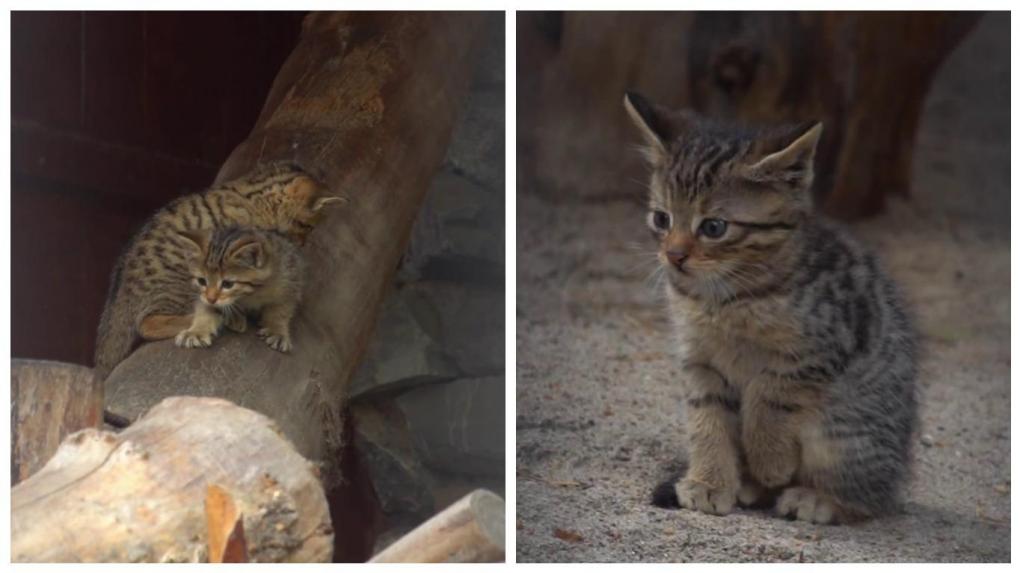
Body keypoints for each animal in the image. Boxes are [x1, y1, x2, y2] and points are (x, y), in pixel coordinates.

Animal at [175, 224, 303, 350]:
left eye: (227, 284)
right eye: (201, 281)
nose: (211, 299)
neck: (252, 293)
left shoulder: (289, 282)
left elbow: (280, 310)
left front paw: (277, 330)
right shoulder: (204, 297)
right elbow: (205, 309)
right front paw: (196, 331)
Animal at [624, 90, 922, 522]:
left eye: (714, 227)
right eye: (662, 219)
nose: (674, 256)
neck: (723, 296)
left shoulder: (824, 346)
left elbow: (768, 390)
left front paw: (769, 459)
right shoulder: (699, 359)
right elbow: (706, 417)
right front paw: (709, 482)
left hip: (842, 430)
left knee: (872, 498)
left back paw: (816, 498)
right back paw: (749, 485)